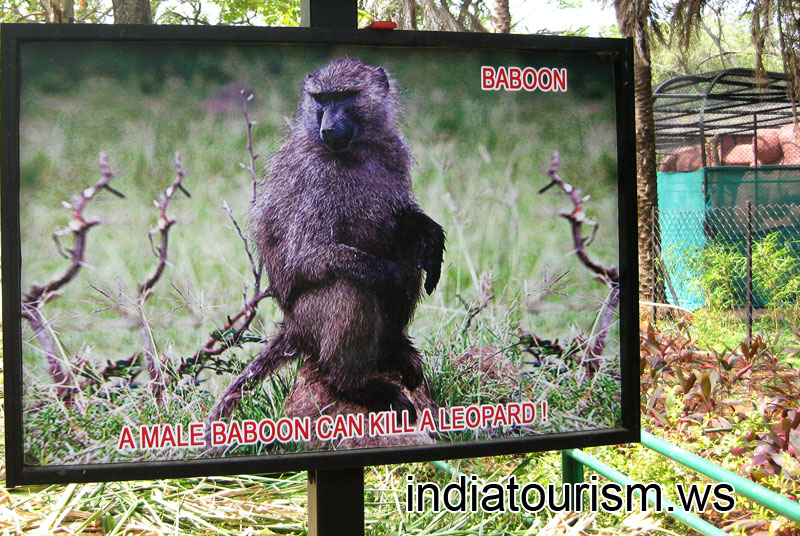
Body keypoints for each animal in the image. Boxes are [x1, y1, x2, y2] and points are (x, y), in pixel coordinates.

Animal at [207, 57, 445, 427]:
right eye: (322, 99)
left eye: (345, 96)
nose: (329, 129)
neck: (357, 150)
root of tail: (292, 327)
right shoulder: (317, 177)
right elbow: (305, 256)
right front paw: (390, 278)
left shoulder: (395, 151)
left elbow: (404, 220)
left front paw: (432, 234)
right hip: (310, 318)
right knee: (350, 286)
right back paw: (353, 383)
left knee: (407, 245)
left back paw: (393, 349)